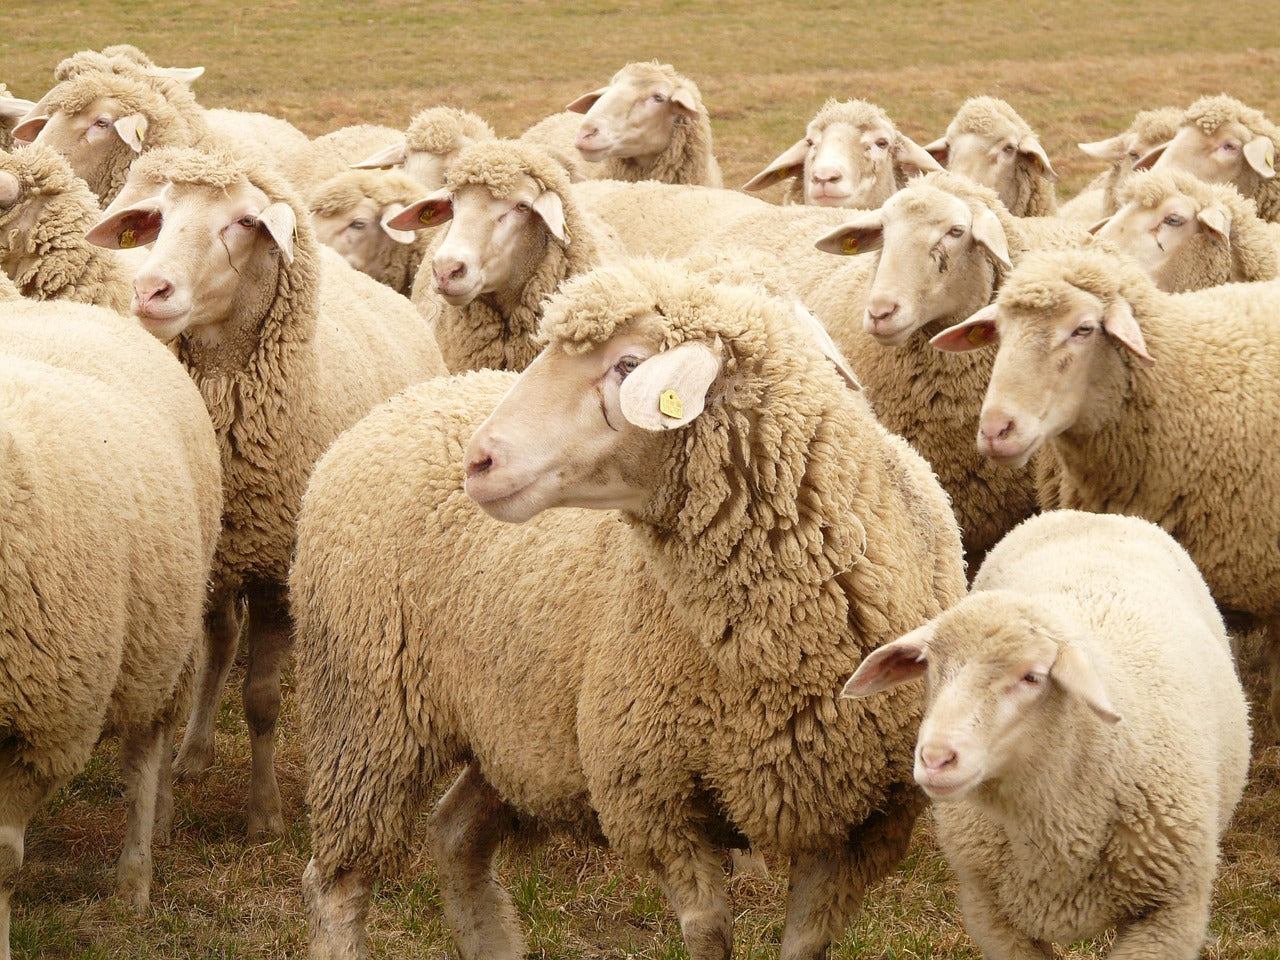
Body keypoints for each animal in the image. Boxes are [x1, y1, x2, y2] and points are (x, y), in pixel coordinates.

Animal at [85, 144, 447, 837]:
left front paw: (265, 814)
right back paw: (195, 753)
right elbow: (191, 680)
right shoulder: (201, 563)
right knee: (221, 644)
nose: (150, 290)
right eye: (159, 217)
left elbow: (261, 699)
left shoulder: (278, 568)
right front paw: (161, 812)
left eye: (245, 223)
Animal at [295, 257, 966, 960]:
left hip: (514, 731)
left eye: (627, 365)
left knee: (455, 836)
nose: (478, 461)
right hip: (366, 717)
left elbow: (804, 944)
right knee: (337, 881)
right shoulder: (655, 798)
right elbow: (709, 933)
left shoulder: (862, 823)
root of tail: (398, 405)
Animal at [845, 509, 1251, 960]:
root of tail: (1094, 515)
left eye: (1032, 677)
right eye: (931, 666)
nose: (935, 759)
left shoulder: (1170, 916)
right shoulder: (992, 915)